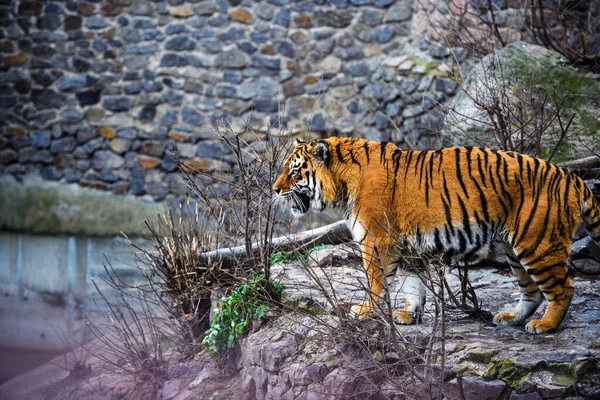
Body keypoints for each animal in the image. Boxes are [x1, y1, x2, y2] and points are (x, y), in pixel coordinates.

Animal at [274, 138, 600, 334]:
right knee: (532, 291)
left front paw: (365, 311)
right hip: (515, 249)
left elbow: (376, 280)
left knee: (563, 289)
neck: (342, 184)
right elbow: (413, 284)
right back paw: (511, 318)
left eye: (295, 171)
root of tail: (573, 177)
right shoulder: (409, 247)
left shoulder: (376, 240)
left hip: (538, 244)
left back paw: (545, 325)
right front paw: (409, 315)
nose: (275, 189)